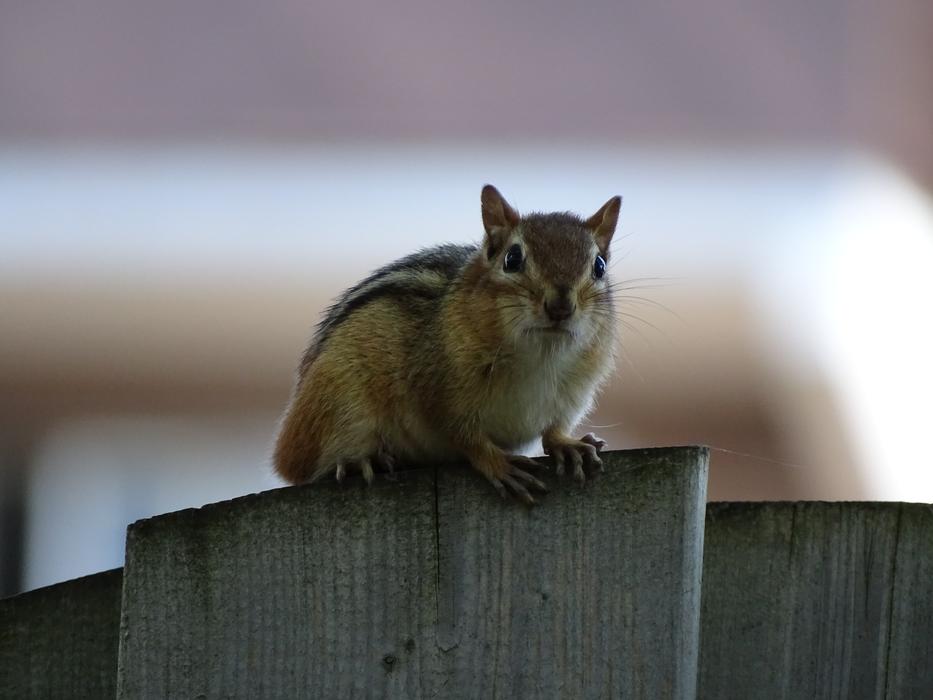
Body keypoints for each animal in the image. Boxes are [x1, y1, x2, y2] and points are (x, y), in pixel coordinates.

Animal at [273, 185, 620, 504]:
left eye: (599, 266)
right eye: (512, 258)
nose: (560, 306)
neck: (542, 354)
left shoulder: (572, 395)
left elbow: (554, 428)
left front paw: (568, 445)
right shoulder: (436, 390)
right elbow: (463, 435)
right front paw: (497, 463)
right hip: (338, 402)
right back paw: (360, 461)